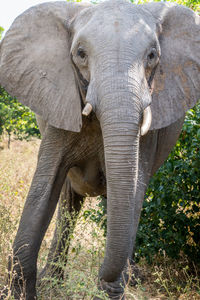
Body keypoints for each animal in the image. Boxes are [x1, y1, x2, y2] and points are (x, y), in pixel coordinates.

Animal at [0, 0, 200, 298]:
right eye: (81, 54)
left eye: (152, 56)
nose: (104, 276)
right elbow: (43, 189)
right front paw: (19, 292)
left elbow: (134, 189)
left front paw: (113, 288)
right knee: (69, 203)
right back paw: (53, 282)